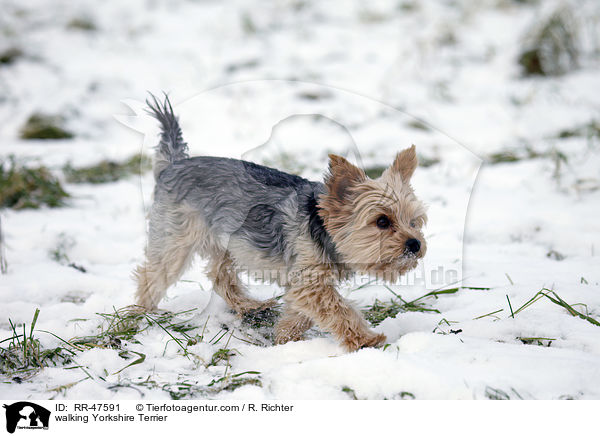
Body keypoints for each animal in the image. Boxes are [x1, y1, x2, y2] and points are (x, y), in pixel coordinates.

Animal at [136, 95, 426, 350]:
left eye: (414, 222)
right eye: (382, 221)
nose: (415, 244)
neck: (321, 227)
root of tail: (172, 165)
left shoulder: (302, 283)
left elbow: (301, 314)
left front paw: (286, 338)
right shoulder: (311, 282)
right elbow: (338, 309)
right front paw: (365, 340)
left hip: (226, 242)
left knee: (220, 275)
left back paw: (251, 306)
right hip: (174, 238)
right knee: (153, 274)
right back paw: (141, 314)